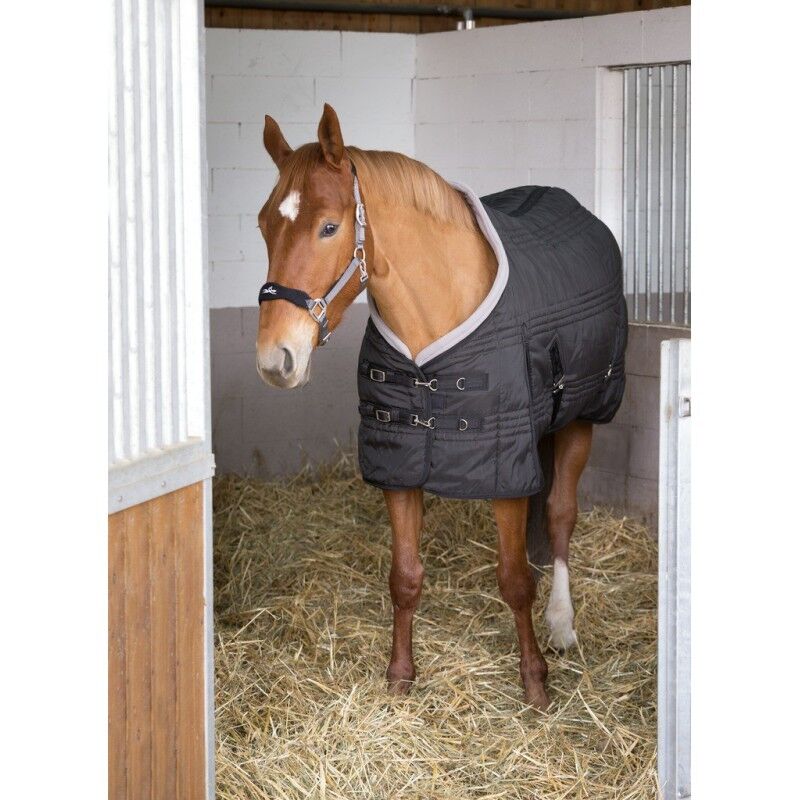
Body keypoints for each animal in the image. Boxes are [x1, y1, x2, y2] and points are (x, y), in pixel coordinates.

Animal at [253, 104, 624, 710]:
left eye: (328, 227)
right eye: (264, 225)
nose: (275, 359)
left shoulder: (502, 468)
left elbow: (513, 579)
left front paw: (535, 682)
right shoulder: (400, 463)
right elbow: (404, 576)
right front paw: (400, 677)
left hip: (582, 420)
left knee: (561, 514)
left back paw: (562, 623)